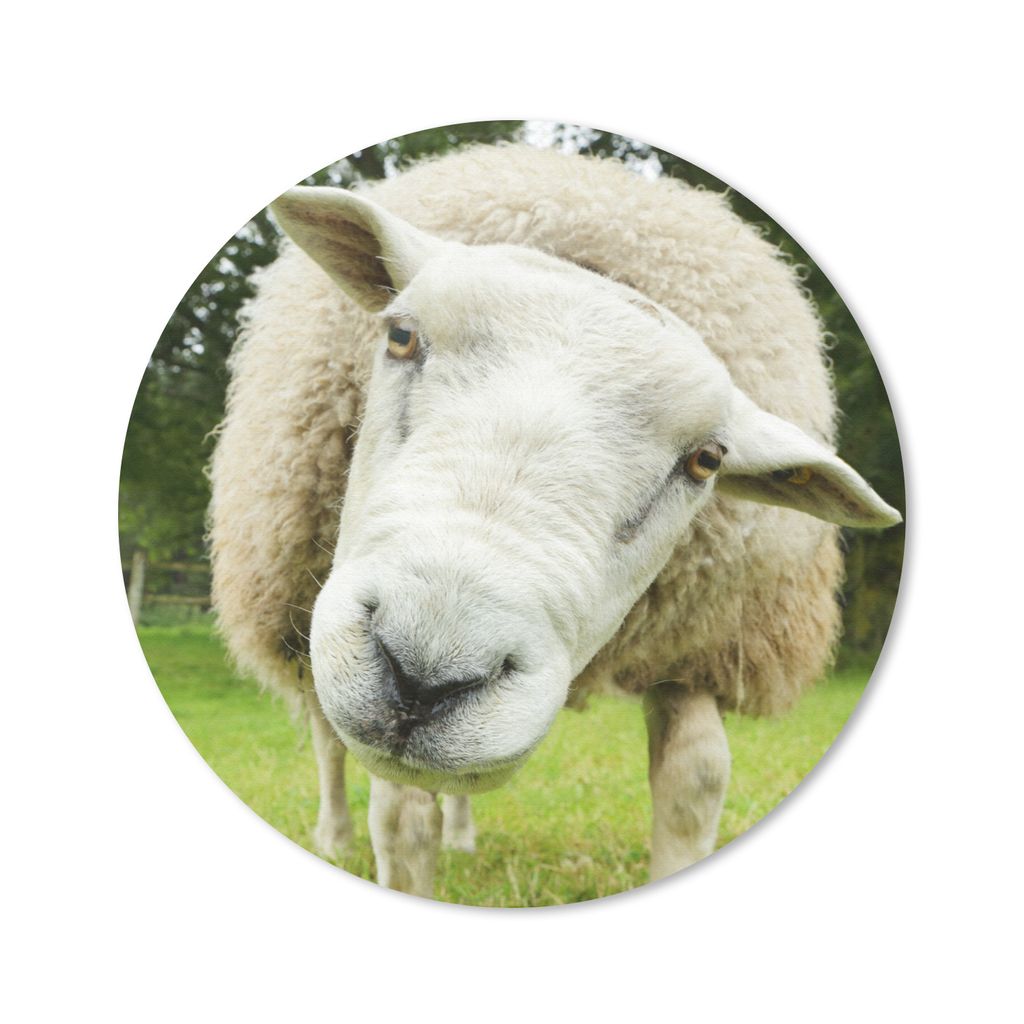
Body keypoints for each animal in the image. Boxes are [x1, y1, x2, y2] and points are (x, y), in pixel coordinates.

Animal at [208, 143, 901, 899]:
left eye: (706, 459)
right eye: (400, 335)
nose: (425, 675)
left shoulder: (698, 645)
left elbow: (695, 782)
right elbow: (398, 819)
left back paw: (462, 836)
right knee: (324, 736)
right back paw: (334, 836)